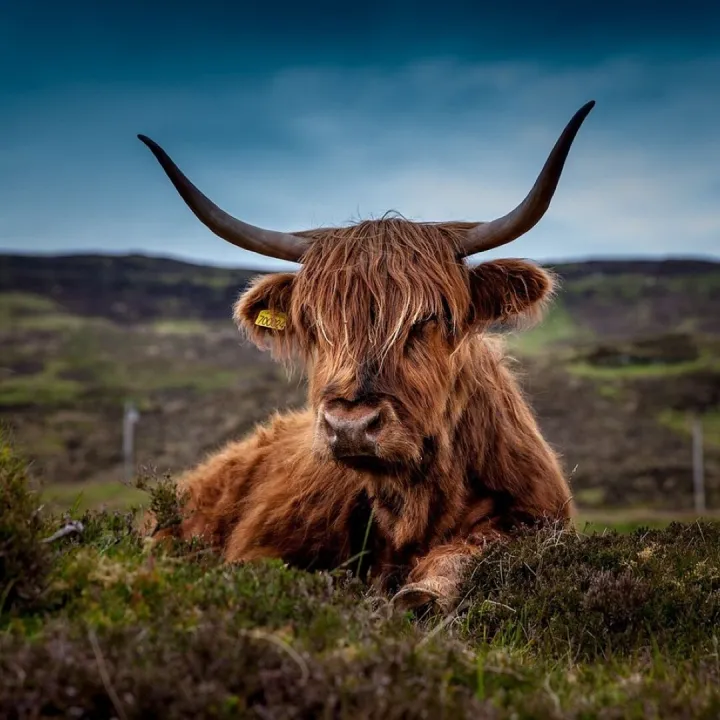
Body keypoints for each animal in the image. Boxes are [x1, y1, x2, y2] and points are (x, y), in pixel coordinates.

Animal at [137, 101, 594, 612]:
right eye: (315, 324)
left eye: (429, 317)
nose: (350, 426)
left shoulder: (535, 518)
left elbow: (472, 550)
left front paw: (422, 592)